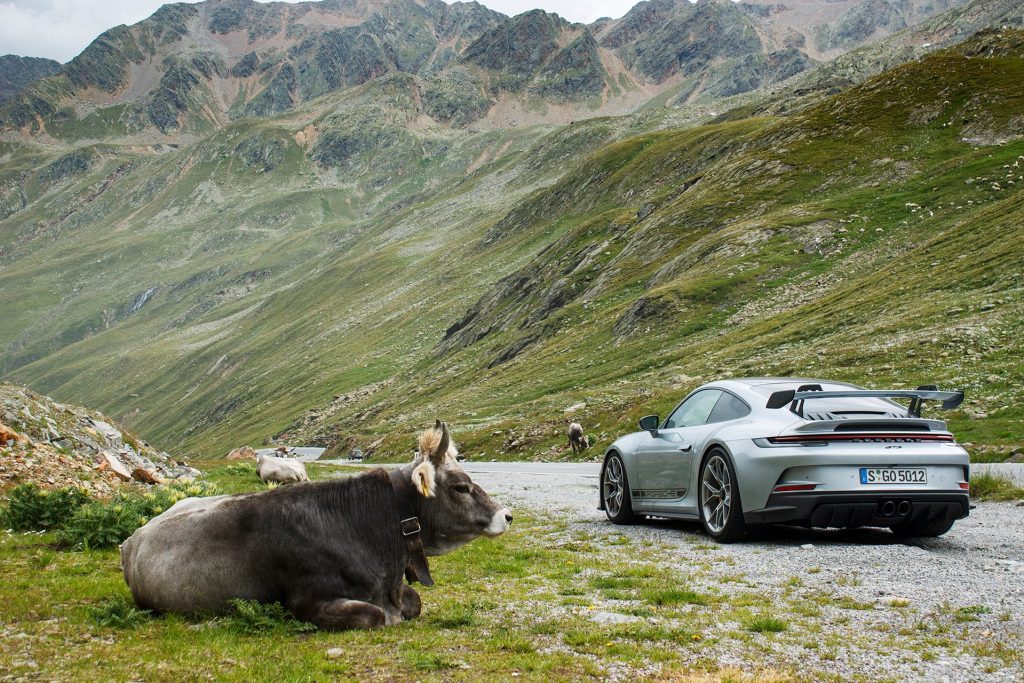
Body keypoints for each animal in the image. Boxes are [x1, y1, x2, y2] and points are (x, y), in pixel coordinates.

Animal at [119, 421, 512, 630]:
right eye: (460, 486)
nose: (507, 514)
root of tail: (132, 538)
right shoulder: (306, 601)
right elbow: (373, 615)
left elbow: (415, 601)